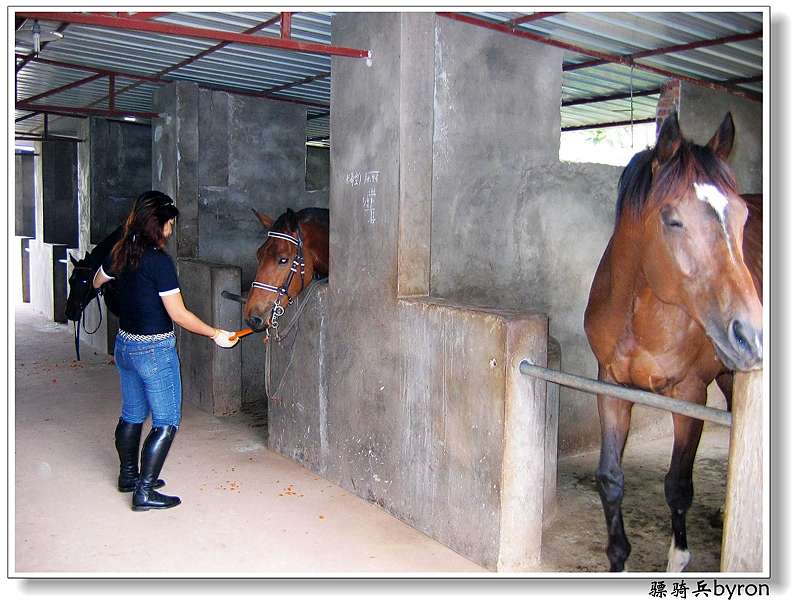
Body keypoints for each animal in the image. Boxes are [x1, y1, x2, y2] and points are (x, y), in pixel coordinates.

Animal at [588, 112, 764, 572]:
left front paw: (679, 558)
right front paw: (618, 557)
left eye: (741, 217)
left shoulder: (690, 395)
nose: (752, 335)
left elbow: (679, 486)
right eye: (672, 220)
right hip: (729, 374)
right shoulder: (610, 387)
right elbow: (610, 479)